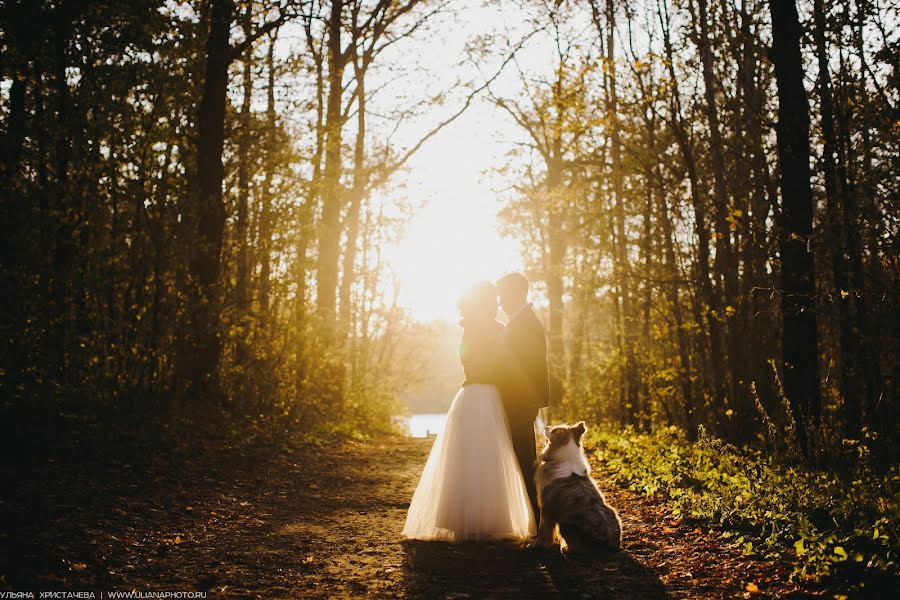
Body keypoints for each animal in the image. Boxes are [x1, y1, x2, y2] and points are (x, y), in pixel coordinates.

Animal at [532, 422, 624, 552]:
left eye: (554, 430)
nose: (546, 427)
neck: (565, 457)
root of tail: (608, 543)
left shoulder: (546, 507)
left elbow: (543, 530)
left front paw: (537, 545)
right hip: (613, 512)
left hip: (565, 523)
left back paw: (565, 548)